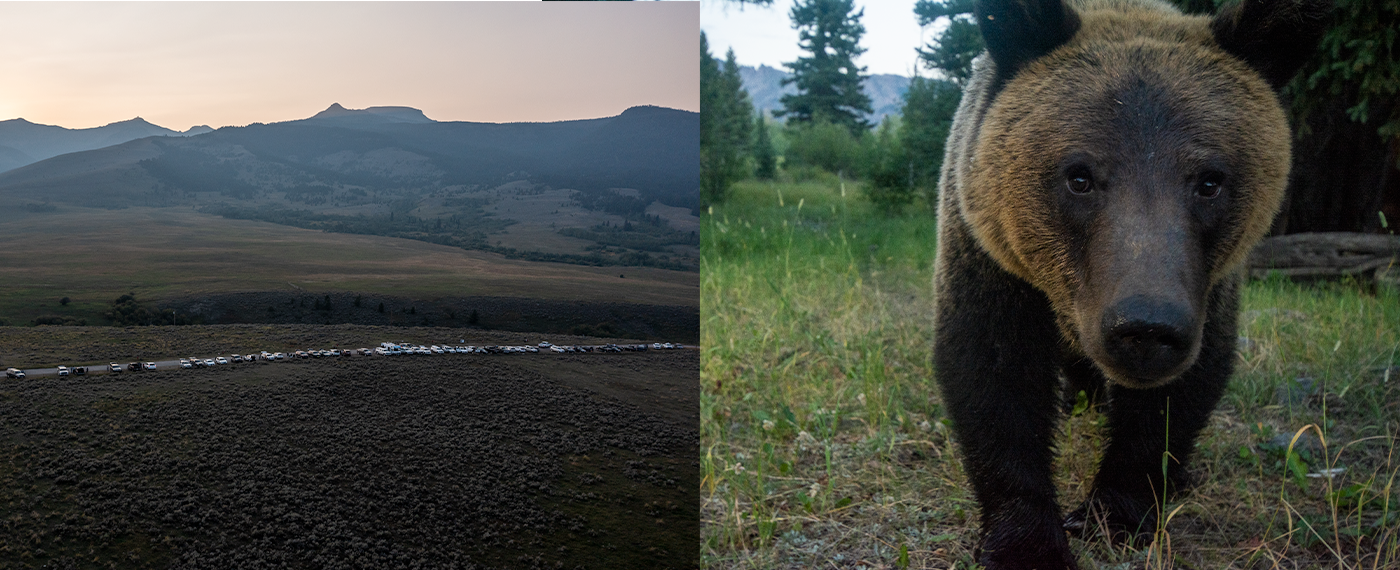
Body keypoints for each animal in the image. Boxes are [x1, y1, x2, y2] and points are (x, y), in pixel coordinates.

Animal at [931, 0, 1331, 568]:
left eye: (1210, 180)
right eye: (1079, 175)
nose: (1145, 327)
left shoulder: (1207, 289)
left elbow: (1175, 398)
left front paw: (1114, 515)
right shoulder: (990, 257)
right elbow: (994, 376)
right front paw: (1028, 542)